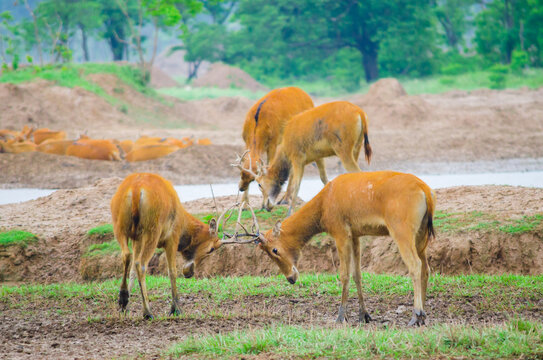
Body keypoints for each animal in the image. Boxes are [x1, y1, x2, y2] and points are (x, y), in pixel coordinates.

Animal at [111, 173, 222, 320]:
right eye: (211, 249)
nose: (189, 273)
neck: (183, 225)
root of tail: (135, 190)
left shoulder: (137, 239)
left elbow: (132, 271)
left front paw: (126, 305)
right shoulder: (172, 238)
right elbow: (172, 271)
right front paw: (176, 309)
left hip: (120, 226)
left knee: (127, 256)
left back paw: (123, 299)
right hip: (152, 230)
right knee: (141, 264)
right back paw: (147, 312)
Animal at [223, 172, 436, 326]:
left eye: (274, 250)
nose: (291, 278)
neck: (323, 205)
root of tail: (425, 190)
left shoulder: (340, 231)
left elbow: (343, 274)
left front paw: (341, 317)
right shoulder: (355, 235)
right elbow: (358, 274)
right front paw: (364, 315)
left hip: (401, 230)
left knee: (415, 266)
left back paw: (416, 315)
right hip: (421, 235)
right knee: (426, 268)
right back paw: (424, 315)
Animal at [235, 100, 374, 215]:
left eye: (259, 184)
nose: (265, 206)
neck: (285, 147)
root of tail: (361, 113)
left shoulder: (297, 158)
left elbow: (296, 185)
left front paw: (289, 213)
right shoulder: (318, 156)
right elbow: (324, 178)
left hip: (343, 149)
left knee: (358, 173)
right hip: (356, 148)